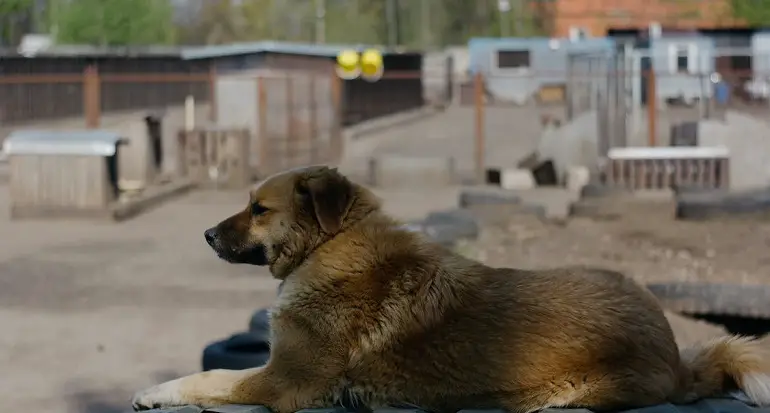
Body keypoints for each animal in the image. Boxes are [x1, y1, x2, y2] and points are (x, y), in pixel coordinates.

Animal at [134, 166, 768, 412]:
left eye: (258, 209)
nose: (207, 234)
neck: (334, 245)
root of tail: (676, 354)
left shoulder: (286, 381)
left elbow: (213, 375)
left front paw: (156, 390)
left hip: (567, 393)